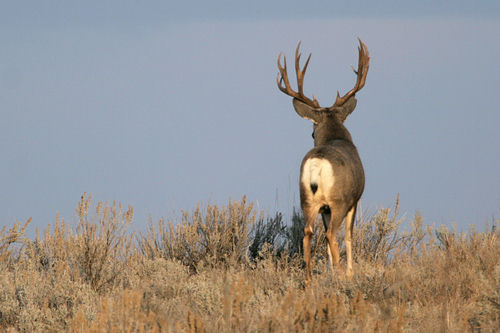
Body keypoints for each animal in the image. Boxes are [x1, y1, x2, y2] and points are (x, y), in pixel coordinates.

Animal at [276, 39, 370, 282]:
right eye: (312, 131)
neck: (336, 137)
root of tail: (317, 164)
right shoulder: (354, 199)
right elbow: (349, 236)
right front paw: (349, 272)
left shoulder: (324, 208)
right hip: (338, 200)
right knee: (331, 234)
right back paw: (340, 274)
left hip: (307, 200)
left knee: (308, 232)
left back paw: (309, 280)